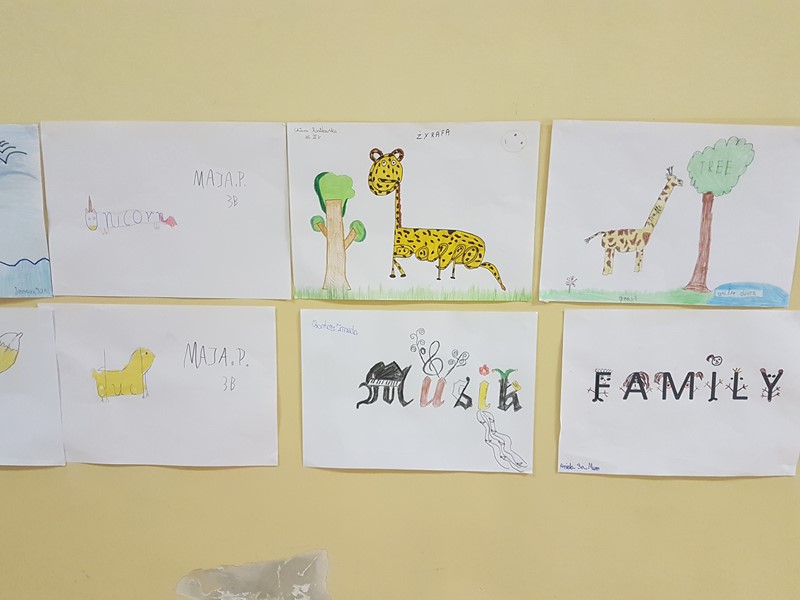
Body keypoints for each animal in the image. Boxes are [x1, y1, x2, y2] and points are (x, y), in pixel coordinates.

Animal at [367, 148, 505, 290]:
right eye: (383, 162)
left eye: (393, 162)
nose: (389, 178)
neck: (399, 228)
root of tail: (483, 245)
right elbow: (393, 257)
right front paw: (399, 273)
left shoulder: (414, 250)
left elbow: (394, 257)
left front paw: (398, 273)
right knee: (486, 265)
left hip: (469, 259)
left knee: (487, 265)